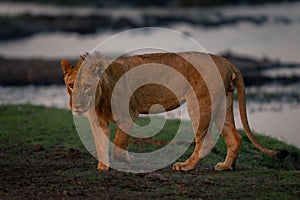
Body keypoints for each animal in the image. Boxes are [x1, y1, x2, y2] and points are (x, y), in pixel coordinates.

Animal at [61, 50, 288, 171]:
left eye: (87, 86)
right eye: (71, 85)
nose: (77, 106)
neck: (99, 95)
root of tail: (224, 60)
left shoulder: (128, 115)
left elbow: (118, 145)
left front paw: (126, 160)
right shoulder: (97, 120)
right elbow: (101, 144)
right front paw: (103, 167)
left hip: (199, 103)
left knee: (205, 140)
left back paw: (186, 166)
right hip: (223, 103)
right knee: (235, 137)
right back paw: (226, 166)